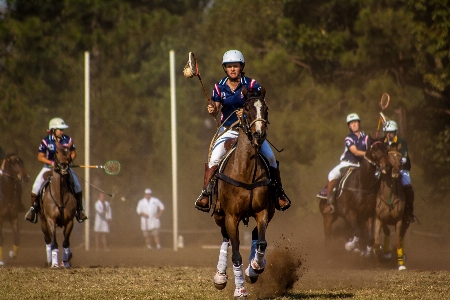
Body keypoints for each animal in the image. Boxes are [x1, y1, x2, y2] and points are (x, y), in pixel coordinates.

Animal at [212, 86, 274, 298]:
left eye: (266, 109)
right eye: (246, 109)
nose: (259, 135)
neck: (246, 171)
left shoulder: (263, 211)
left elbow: (262, 243)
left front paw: (255, 267)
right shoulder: (231, 216)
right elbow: (236, 255)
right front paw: (240, 289)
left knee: (256, 235)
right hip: (219, 214)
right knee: (225, 238)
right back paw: (220, 277)